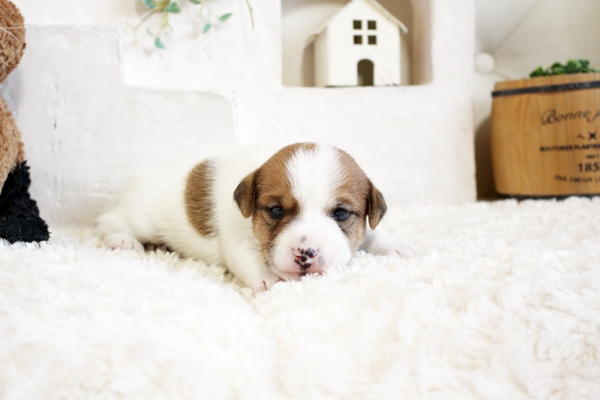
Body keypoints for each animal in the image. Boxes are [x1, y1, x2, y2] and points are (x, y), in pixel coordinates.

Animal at [95, 142, 399, 292]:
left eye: (341, 213)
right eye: (275, 210)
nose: (305, 254)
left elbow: (372, 235)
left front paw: (394, 247)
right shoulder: (238, 242)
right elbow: (250, 260)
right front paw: (269, 279)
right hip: (140, 217)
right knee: (107, 222)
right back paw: (123, 241)